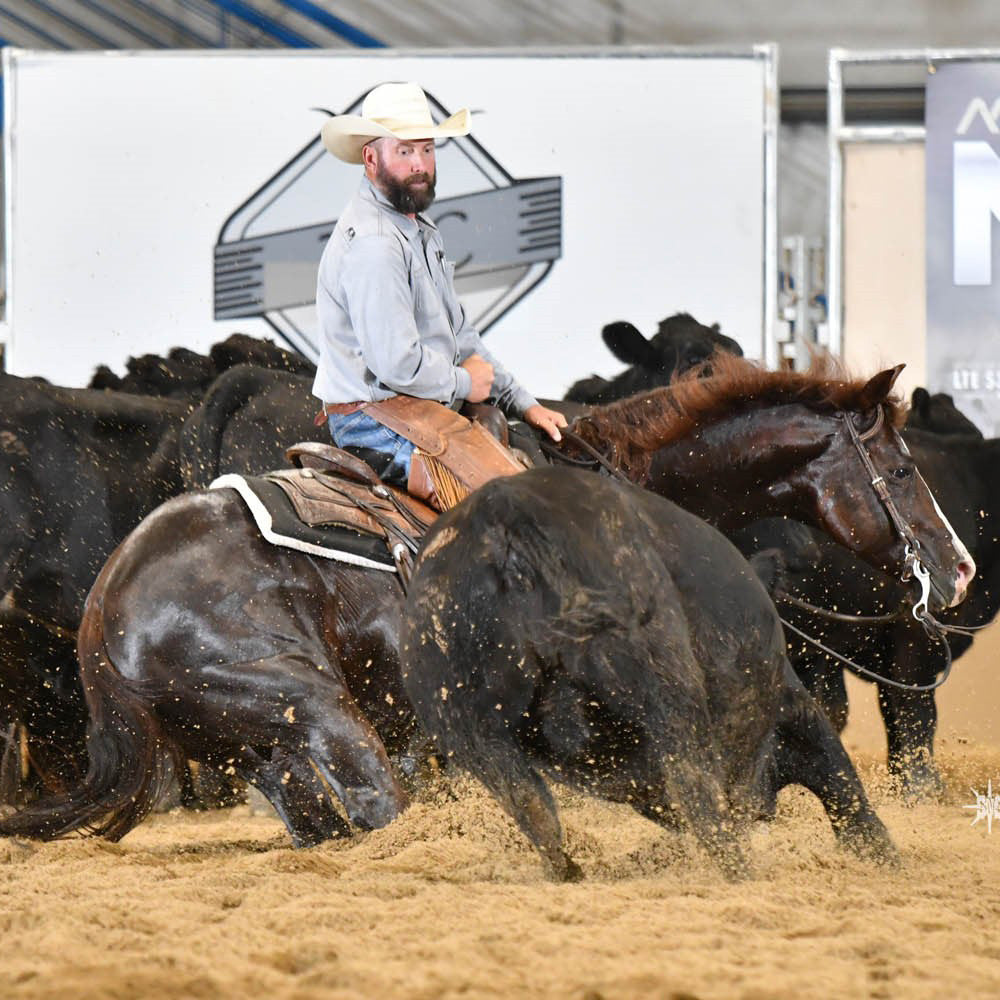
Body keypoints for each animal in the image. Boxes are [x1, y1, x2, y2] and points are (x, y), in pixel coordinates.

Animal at [0, 355, 974, 847]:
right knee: (378, 809)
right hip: (311, 708)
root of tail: (103, 619)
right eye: (900, 469)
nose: (958, 568)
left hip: (264, 747)